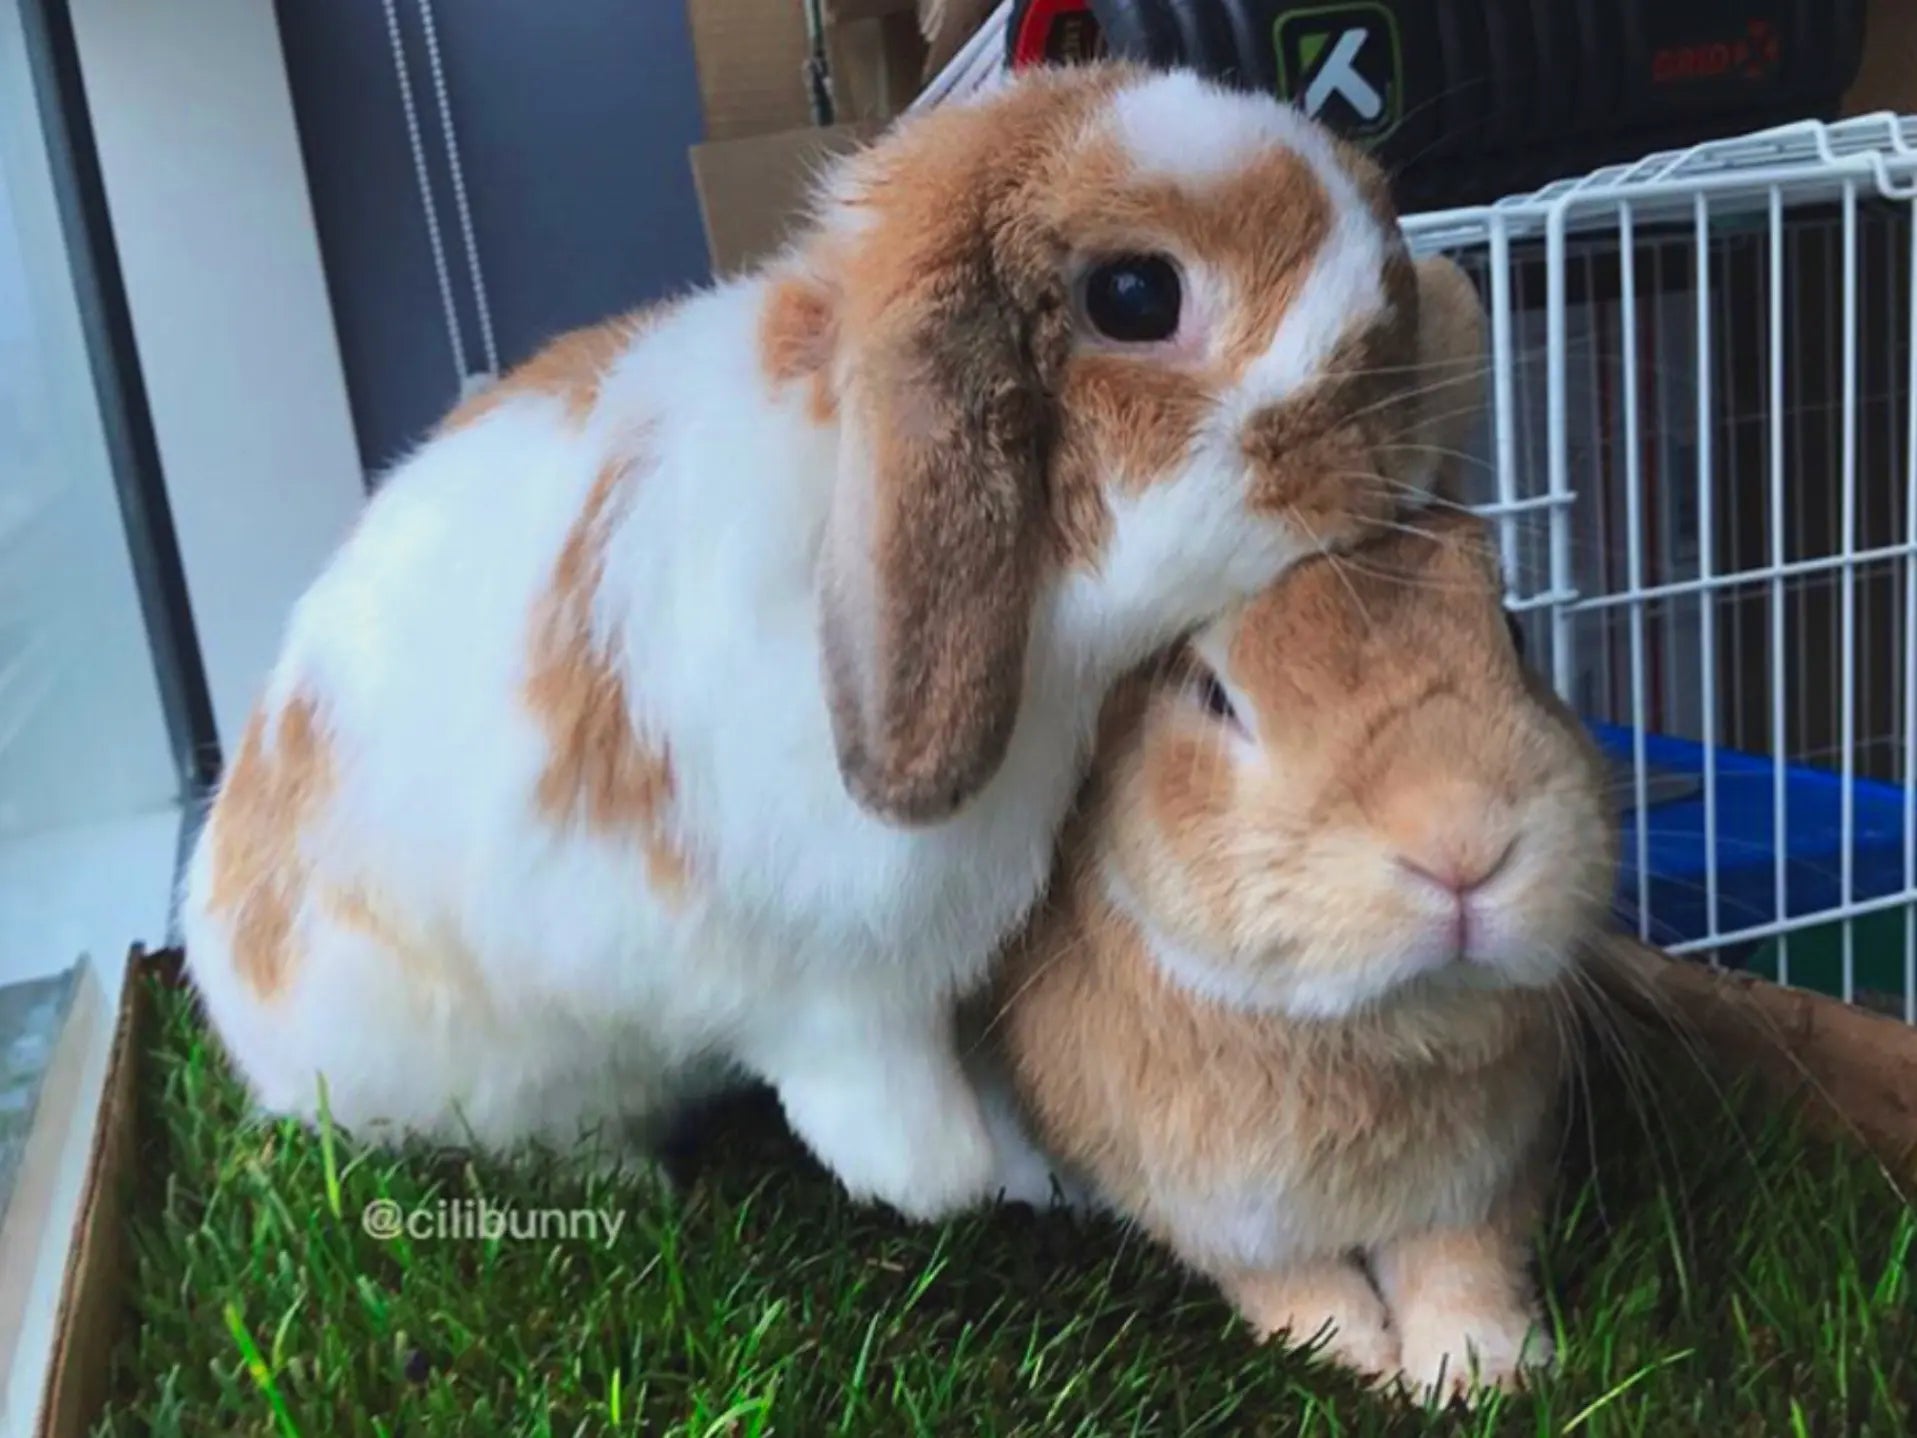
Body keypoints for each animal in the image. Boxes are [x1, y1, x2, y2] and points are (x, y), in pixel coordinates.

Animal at [179, 60, 1490, 1223]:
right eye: (1136, 296)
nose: (1411, 401)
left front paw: (1038, 1164)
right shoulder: (839, 984)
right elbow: (900, 1116)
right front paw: (969, 1182)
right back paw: (633, 1183)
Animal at [988, 505, 1617, 1398]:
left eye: (1516, 633)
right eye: (1210, 694)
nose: (1460, 847)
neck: (1373, 1032)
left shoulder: (1481, 1178)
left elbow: (1462, 1265)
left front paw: (1480, 1372)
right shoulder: (1208, 1207)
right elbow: (1290, 1278)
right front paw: (1353, 1357)